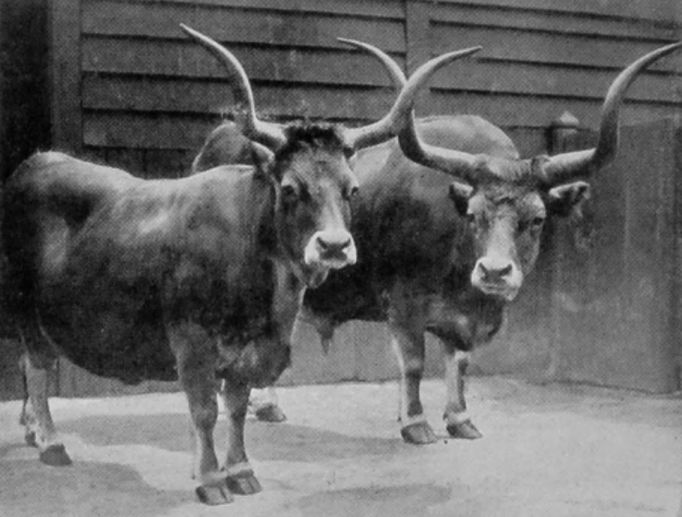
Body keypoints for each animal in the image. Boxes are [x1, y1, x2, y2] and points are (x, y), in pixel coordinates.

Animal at [2, 24, 480, 504]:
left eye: (352, 189)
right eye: (289, 188)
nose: (333, 245)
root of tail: (39, 160)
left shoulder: (251, 352)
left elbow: (234, 407)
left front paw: (242, 471)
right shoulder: (192, 343)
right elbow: (204, 411)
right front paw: (211, 480)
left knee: (31, 366)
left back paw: (33, 432)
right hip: (26, 310)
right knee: (36, 367)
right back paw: (51, 442)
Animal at [195, 41, 682, 444]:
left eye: (537, 219)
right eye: (473, 214)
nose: (495, 271)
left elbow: (459, 362)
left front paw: (461, 418)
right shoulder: (404, 303)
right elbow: (413, 362)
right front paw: (415, 423)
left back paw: (267, 404)